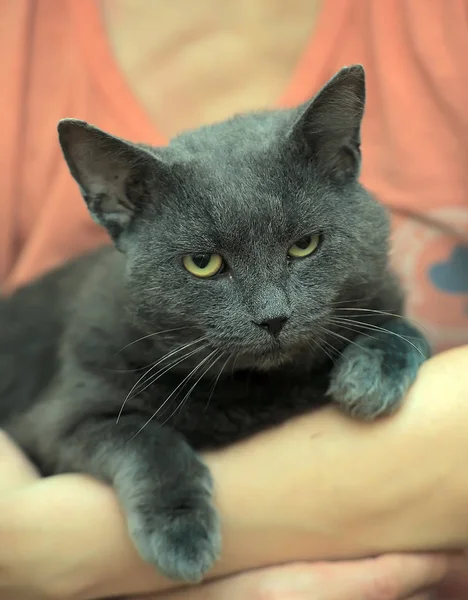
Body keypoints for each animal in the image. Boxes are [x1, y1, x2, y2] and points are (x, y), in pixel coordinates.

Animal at [0, 65, 428, 580]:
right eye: (202, 263)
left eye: (305, 244)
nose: (273, 317)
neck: (259, 389)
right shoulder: (59, 418)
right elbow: (143, 436)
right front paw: (181, 536)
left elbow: (409, 330)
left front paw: (369, 377)